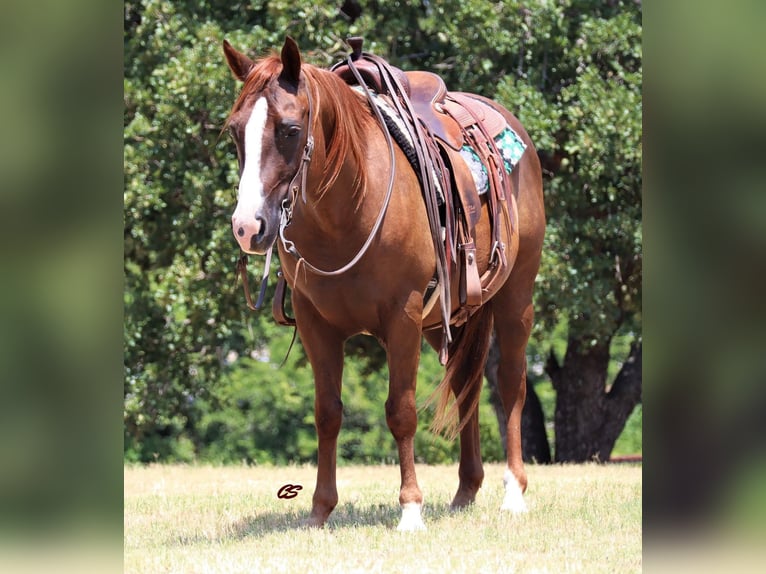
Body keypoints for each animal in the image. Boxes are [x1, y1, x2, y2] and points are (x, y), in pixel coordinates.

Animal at [222, 35, 544, 532]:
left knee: (511, 384)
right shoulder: (316, 325)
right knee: (465, 387)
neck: (349, 208)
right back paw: (466, 491)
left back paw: (513, 492)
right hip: (448, 321)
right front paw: (320, 510)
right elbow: (327, 413)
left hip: (515, 299)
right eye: (235, 132)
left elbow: (401, 412)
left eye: (290, 130)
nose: (247, 227)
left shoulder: (403, 318)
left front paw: (410, 509)